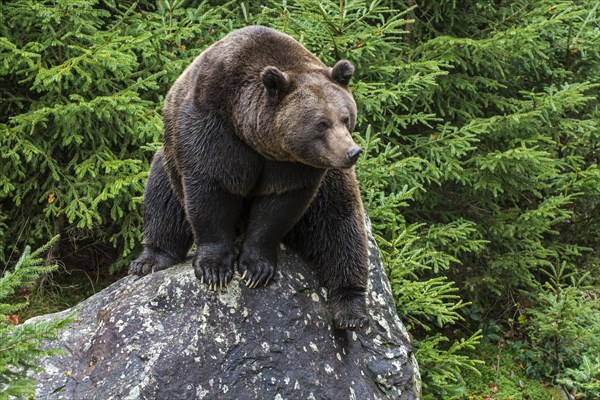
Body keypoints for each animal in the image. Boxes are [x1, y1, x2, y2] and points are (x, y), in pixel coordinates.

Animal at [129, 25, 368, 332]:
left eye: (346, 117)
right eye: (321, 123)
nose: (352, 151)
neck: (256, 138)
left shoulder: (293, 167)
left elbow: (278, 208)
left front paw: (256, 268)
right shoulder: (213, 130)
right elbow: (211, 191)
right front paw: (214, 269)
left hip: (333, 183)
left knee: (342, 230)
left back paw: (351, 312)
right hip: (169, 159)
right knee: (162, 202)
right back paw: (149, 260)